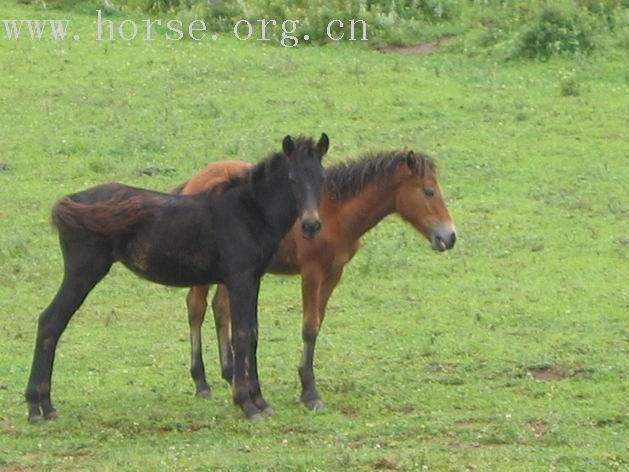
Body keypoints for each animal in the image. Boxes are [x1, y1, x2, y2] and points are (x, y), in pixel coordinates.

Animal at [24, 133, 328, 420]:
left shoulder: (254, 279)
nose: (311, 225)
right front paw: (247, 405)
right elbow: (241, 335)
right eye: (292, 179)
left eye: (321, 177)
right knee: (50, 322)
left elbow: (252, 333)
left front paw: (261, 402)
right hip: (83, 272)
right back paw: (37, 407)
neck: (248, 213)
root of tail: (71, 201)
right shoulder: (239, 279)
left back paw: (45, 406)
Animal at [177, 150, 456, 410]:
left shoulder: (334, 273)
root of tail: (195, 179)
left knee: (220, 307)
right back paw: (201, 382)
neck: (334, 211)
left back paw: (230, 373)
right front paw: (310, 392)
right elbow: (309, 327)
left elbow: (318, 324)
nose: (450, 236)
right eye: (429, 191)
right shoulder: (312, 272)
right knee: (196, 308)